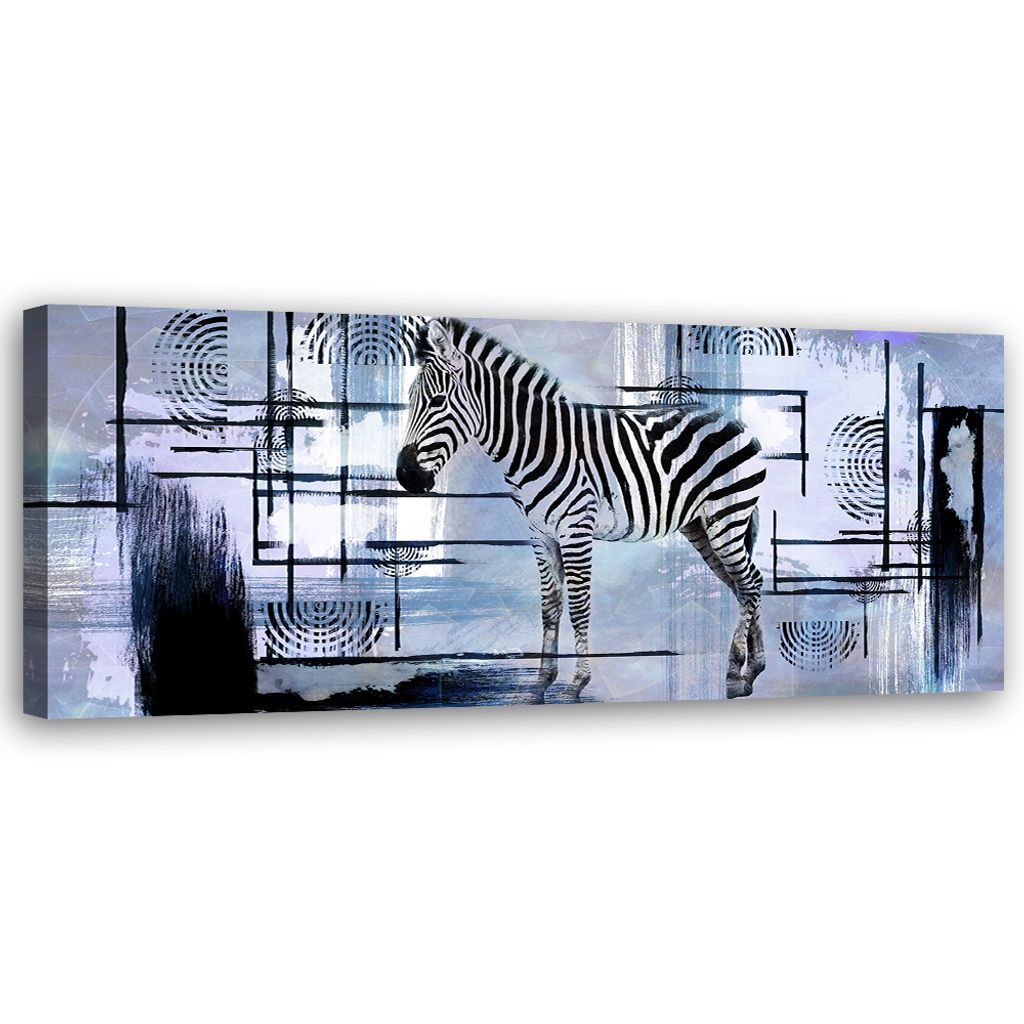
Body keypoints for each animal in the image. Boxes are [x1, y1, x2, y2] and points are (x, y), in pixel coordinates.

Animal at [396, 318, 766, 702]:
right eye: (410, 401)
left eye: (438, 401)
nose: (406, 476)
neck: (537, 445)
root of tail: (728, 417)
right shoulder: (540, 534)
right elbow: (550, 605)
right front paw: (541, 682)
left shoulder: (576, 530)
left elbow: (578, 604)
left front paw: (577, 682)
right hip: (700, 526)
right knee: (742, 584)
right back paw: (751, 670)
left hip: (728, 517)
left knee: (750, 582)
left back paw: (735, 673)